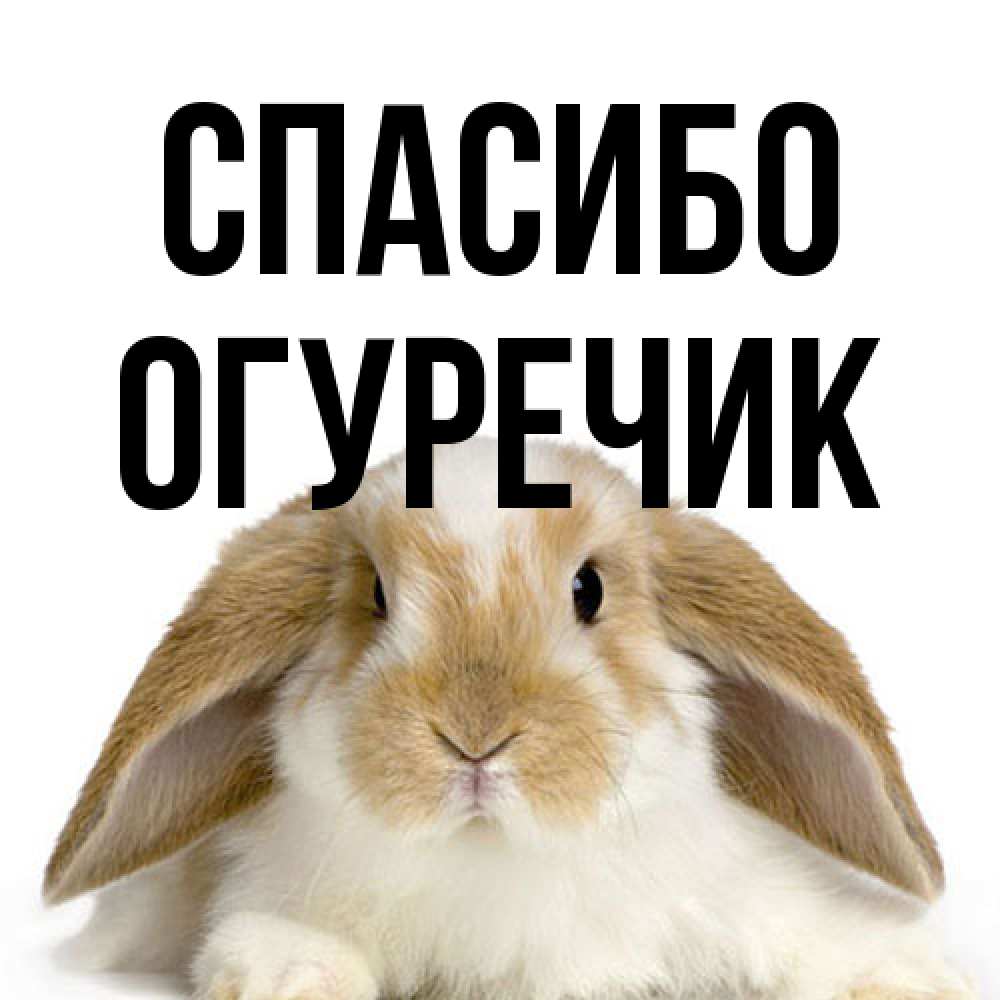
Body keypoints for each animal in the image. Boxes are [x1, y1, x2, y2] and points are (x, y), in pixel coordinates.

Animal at [45, 438, 975, 1000]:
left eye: (589, 589)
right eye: (376, 596)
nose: (475, 737)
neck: (495, 857)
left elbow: (818, 939)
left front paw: (910, 978)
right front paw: (290, 977)